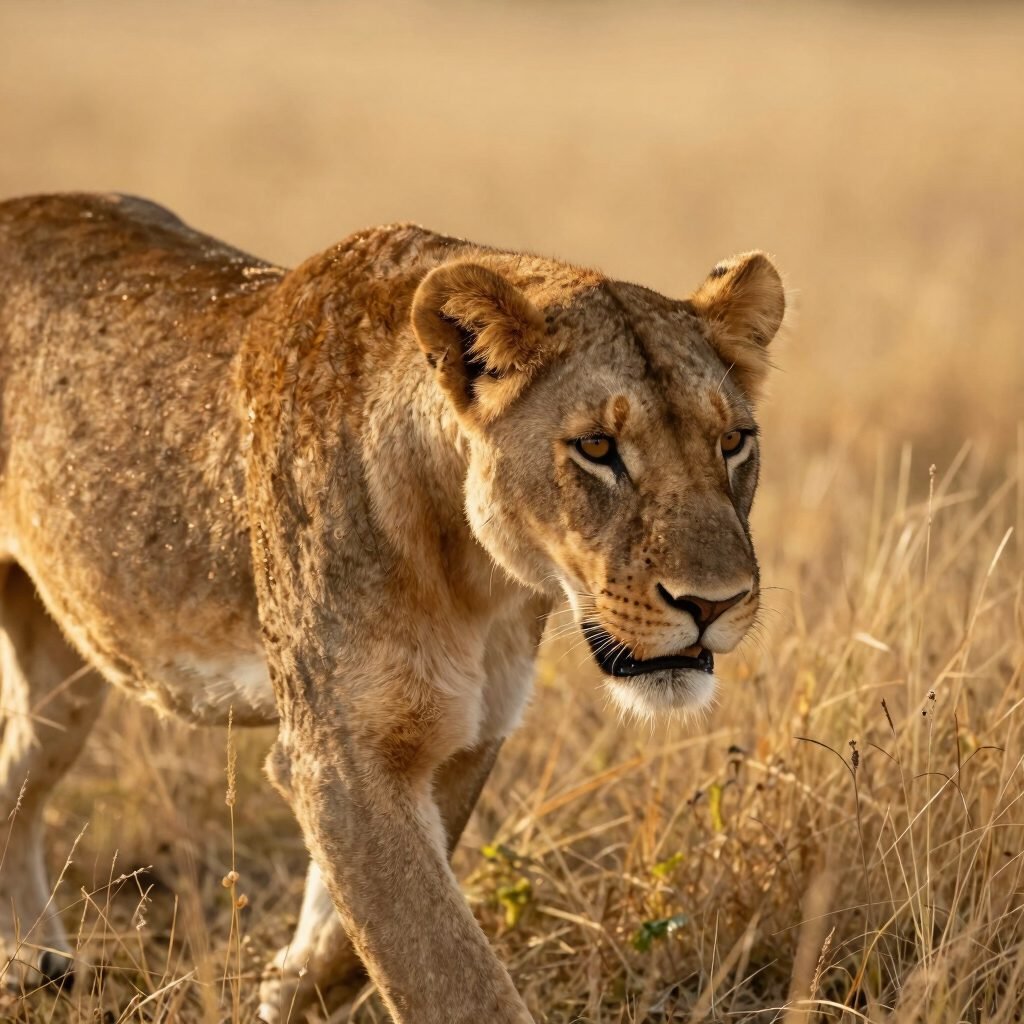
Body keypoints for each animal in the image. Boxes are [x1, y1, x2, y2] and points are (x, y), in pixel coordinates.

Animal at [0, 193, 784, 1022]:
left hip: (64, 676)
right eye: (598, 448)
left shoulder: (465, 733)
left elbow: (360, 936)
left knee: (16, 775)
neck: (477, 577)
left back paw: (34, 961)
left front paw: (287, 982)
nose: (714, 602)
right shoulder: (343, 752)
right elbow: (448, 970)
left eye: (733, 441)